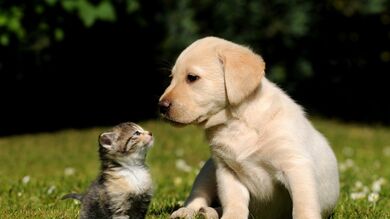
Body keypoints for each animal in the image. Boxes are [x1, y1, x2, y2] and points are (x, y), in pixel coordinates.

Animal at [158, 36, 338, 218]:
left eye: (192, 77)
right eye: (172, 77)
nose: (161, 106)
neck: (236, 122)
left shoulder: (295, 165)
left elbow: (303, 205)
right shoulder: (227, 171)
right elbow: (234, 202)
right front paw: (231, 216)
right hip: (207, 171)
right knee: (197, 196)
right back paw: (192, 211)